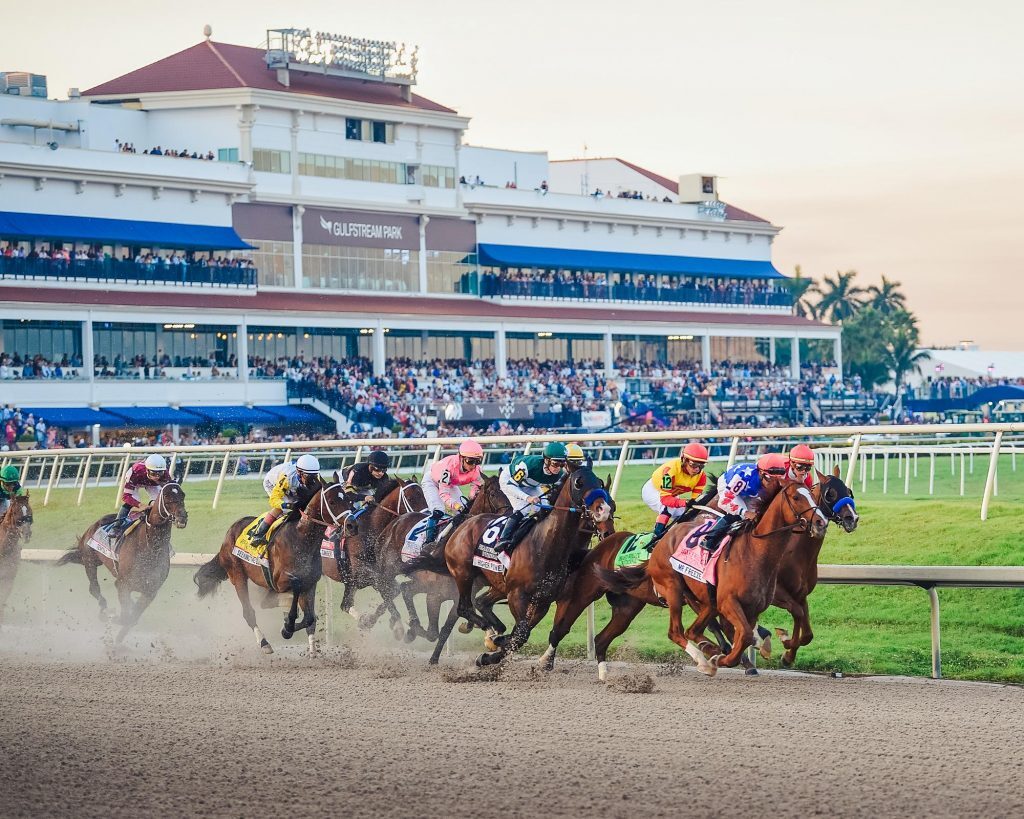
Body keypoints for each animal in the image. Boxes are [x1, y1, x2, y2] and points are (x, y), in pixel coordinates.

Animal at [57, 483, 188, 642]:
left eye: (182, 495)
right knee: (94, 588)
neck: (149, 547)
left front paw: (118, 641)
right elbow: (126, 616)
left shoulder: (150, 591)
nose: (182, 517)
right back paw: (105, 610)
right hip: (89, 560)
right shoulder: (123, 584)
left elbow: (132, 618)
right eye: (167, 496)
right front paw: (114, 618)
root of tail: (92, 526)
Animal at [193, 483, 346, 655]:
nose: (350, 523)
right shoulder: (281, 581)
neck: (301, 539)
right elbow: (296, 587)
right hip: (237, 574)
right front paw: (288, 626)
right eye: (332, 501)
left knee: (266, 602)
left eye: (347, 498)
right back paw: (264, 643)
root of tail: (230, 531)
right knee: (249, 612)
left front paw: (293, 632)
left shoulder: (310, 583)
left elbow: (310, 618)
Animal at [430, 466, 610, 663]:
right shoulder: (517, 595)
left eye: (599, 482)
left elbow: (520, 634)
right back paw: (488, 632)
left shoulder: (543, 600)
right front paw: (492, 648)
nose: (604, 510)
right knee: (464, 608)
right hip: (464, 574)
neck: (544, 544)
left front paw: (494, 651)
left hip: (494, 582)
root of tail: (466, 522)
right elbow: (521, 633)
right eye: (579, 482)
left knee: (481, 602)